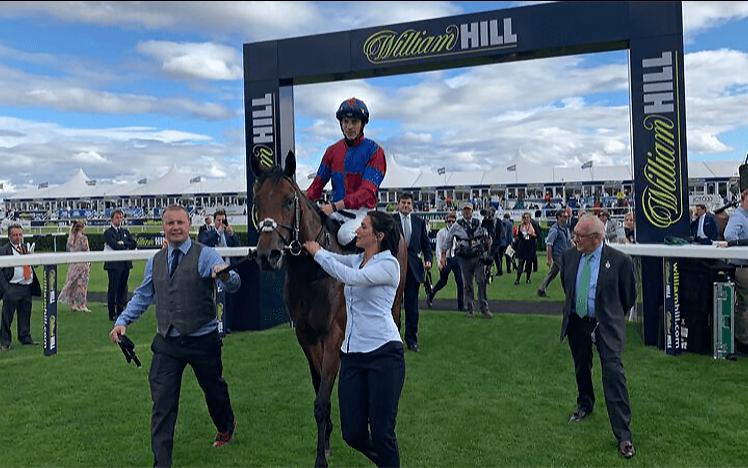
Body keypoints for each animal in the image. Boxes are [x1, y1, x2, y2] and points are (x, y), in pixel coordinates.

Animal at [250, 152, 404, 466]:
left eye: (289, 200)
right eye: (257, 202)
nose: (267, 255)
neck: (311, 274)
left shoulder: (333, 335)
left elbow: (321, 399)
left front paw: (321, 457)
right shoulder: (306, 336)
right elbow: (318, 383)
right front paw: (329, 438)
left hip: (394, 307)